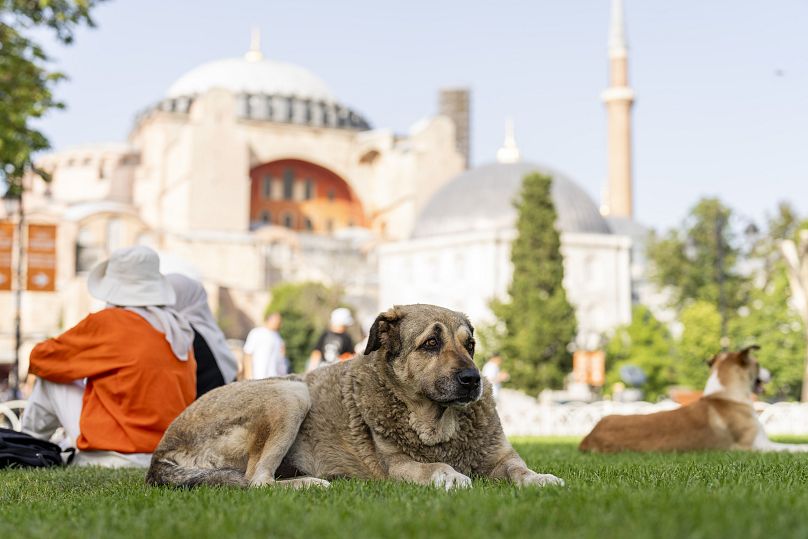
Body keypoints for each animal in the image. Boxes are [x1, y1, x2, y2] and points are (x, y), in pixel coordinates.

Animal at [576, 346, 808, 456]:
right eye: (758, 364)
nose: (770, 374)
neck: (725, 394)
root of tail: (588, 438)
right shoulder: (755, 446)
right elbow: (794, 447)